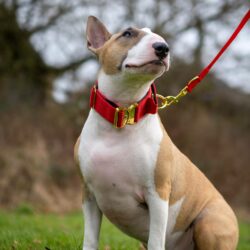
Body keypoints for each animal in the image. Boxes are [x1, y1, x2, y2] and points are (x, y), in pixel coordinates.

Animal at [74, 16, 238, 250]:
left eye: (160, 38)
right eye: (127, 33)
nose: (163, 48)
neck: (123, 116)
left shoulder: (158, 194)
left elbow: (156, 240)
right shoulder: (88, 195)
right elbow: (90, 239)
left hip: (209, 222)